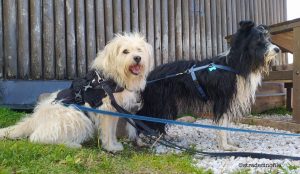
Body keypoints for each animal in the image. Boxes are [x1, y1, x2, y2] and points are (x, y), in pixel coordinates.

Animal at [0, 33, 154, 152]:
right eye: (125, 51)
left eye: (139, 50)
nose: (137, 58)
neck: (111, 78)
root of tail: (36, 118)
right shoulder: (105, 110)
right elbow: (107, 131)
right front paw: (110, 147)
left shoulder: (114, 111)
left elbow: (111, 130)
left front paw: (114, 144)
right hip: (76, 116)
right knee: (36, 138)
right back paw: (71, 145)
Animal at [130, 20, 280, 151]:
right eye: (259, 40)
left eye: (268, 38)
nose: (278, 49)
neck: (234, 64)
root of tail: (148, 76)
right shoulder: (222, 100)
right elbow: (222, 123)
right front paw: (225, 147)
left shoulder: (228, 101)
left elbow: (226, 123)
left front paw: (229, 142)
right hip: (159, 104)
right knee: (139, 116)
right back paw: (140, 141)